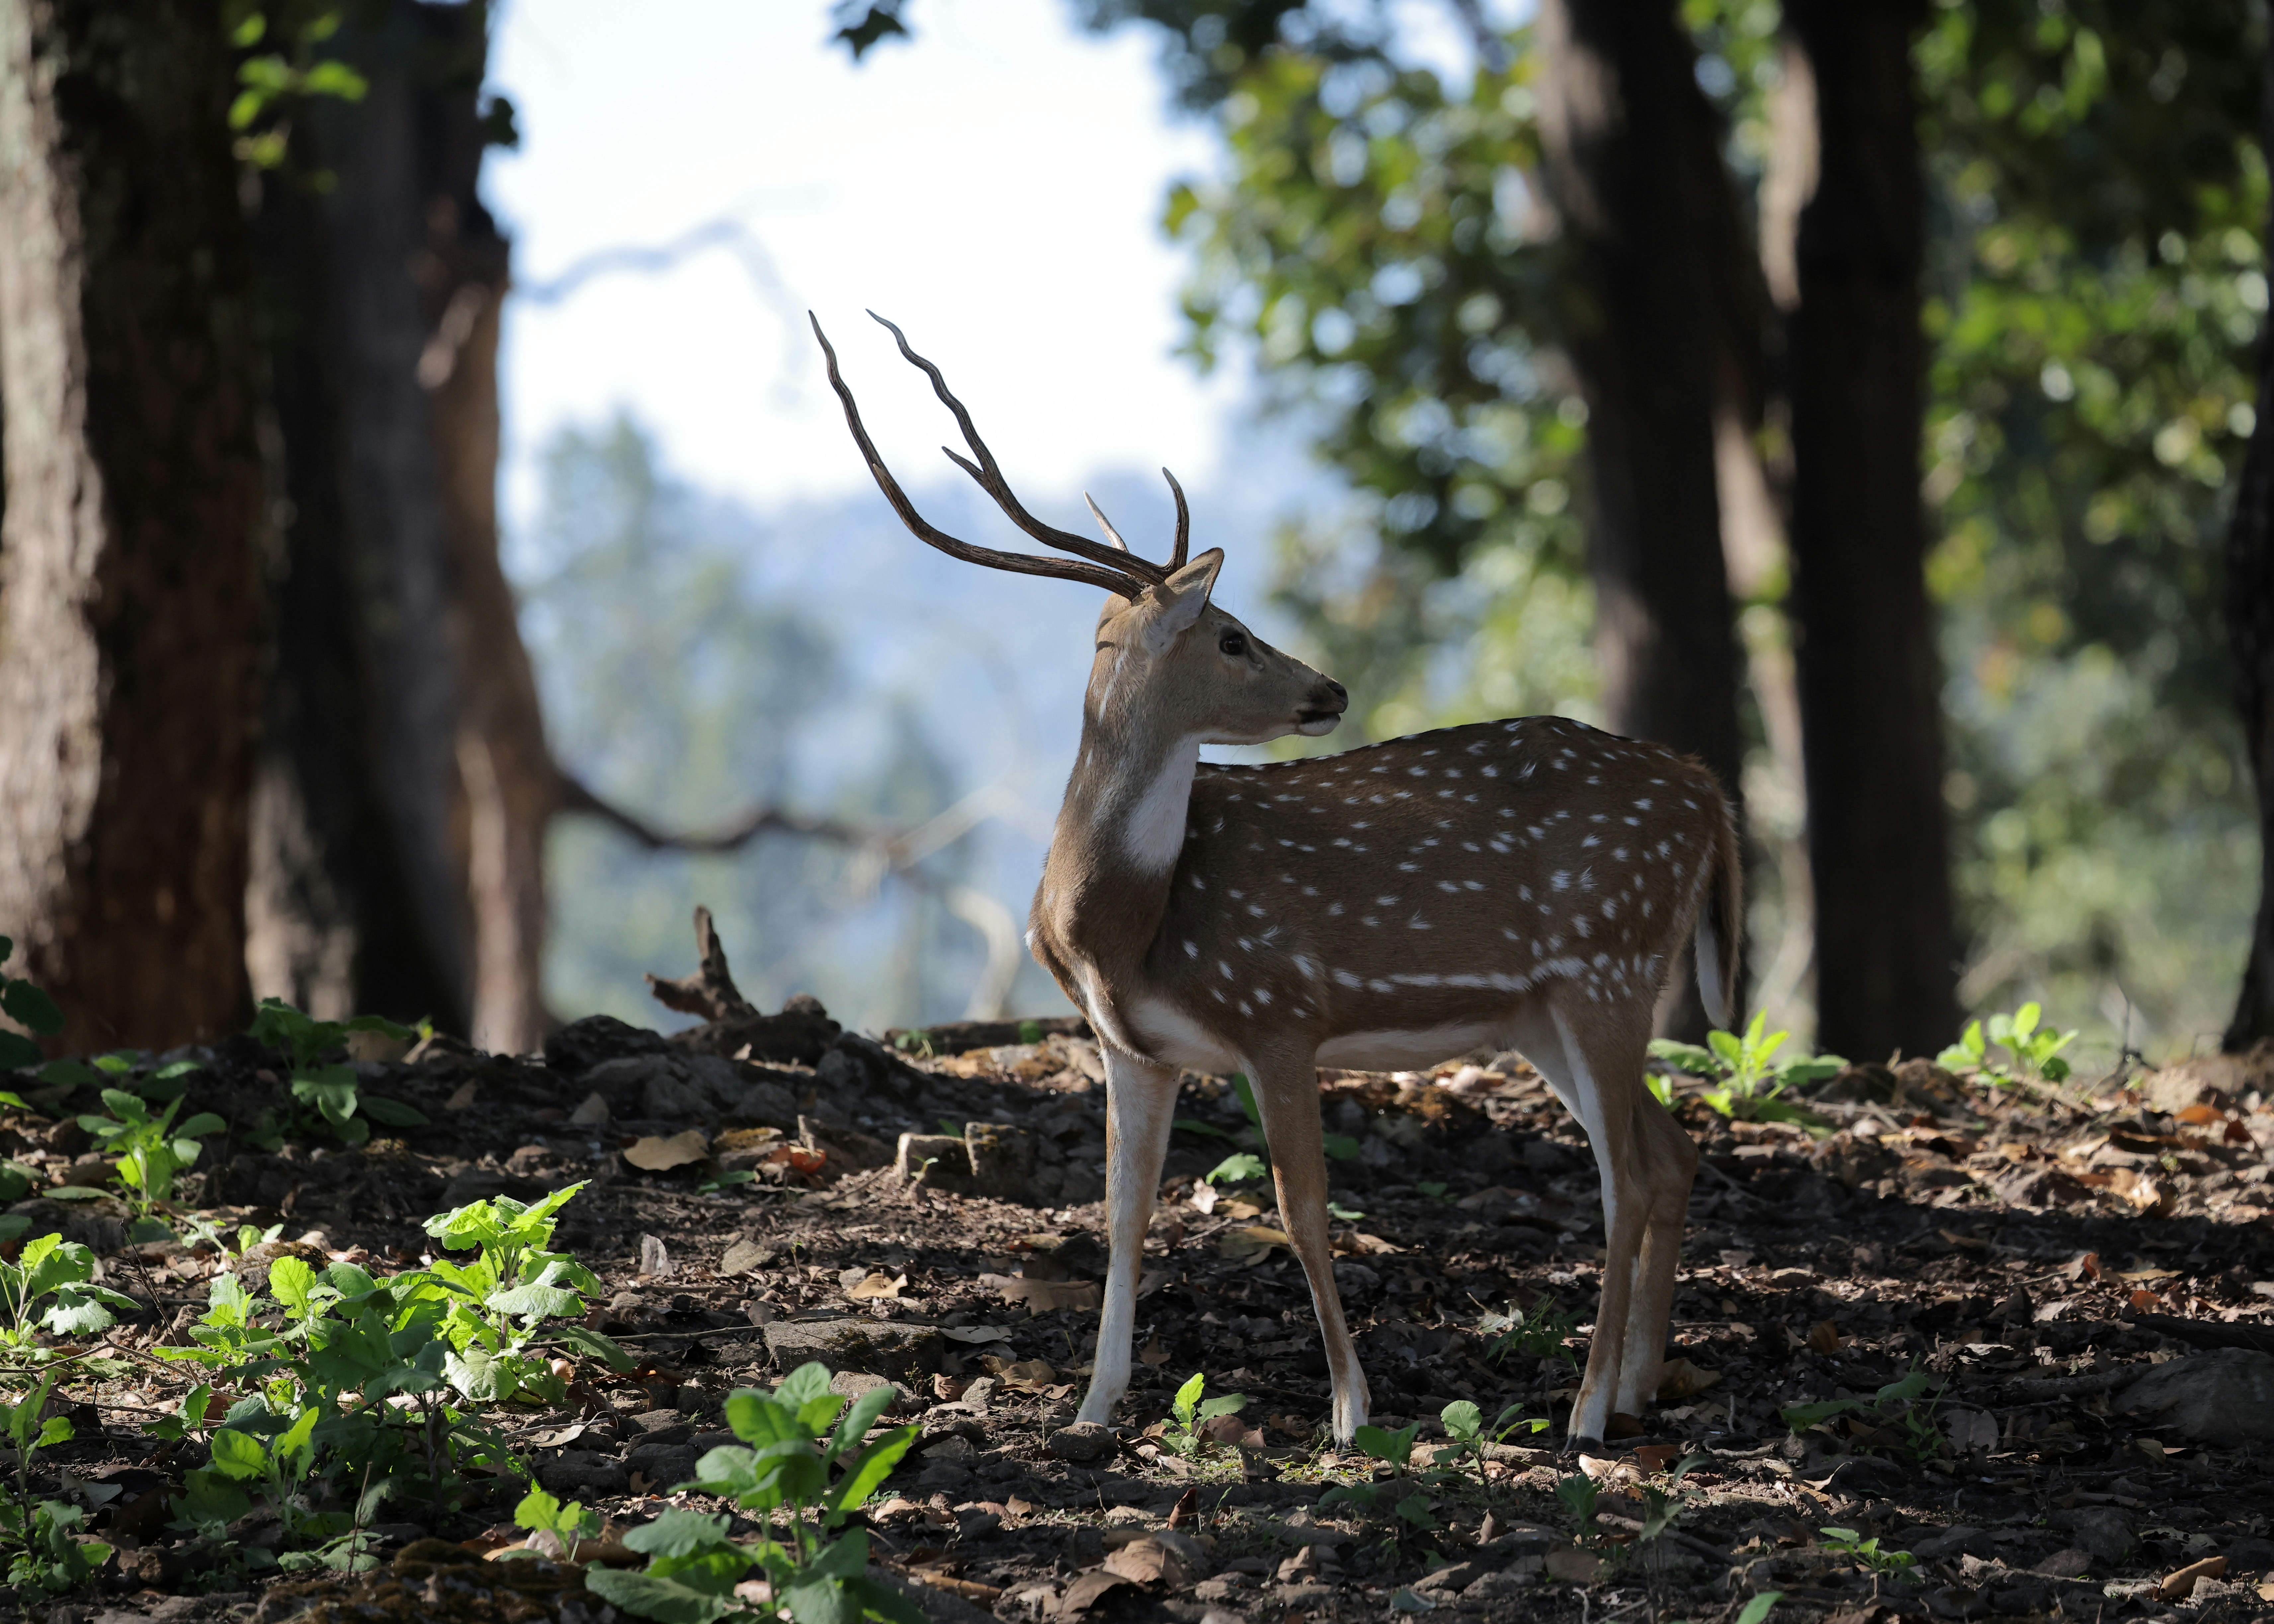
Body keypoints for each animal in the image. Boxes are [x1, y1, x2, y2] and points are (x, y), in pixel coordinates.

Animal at [810, 312, 1739, 1451]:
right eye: (1233, 635)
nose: (1329, 690)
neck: (1120, 925)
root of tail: (1706, 790)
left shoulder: (1281, 1009)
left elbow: (1301, 1210)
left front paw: (1349, 1411)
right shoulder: (1131, 1044)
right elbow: (1123, 1210)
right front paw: (1092, 1405)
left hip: (1608, 959)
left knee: (1630, 1170)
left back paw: (1588, 1410)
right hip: (1543, 1009)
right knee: (1671, 1148)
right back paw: (1641, 1385)